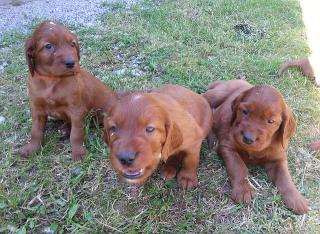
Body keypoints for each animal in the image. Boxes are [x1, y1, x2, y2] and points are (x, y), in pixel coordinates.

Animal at [19, 20, 115, 161]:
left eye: (72, 44)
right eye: (48, 46)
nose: (71, 63)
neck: (52, 80)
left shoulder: (76, 110)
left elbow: (76, 134)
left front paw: (78, 153)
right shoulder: (37, 110)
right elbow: (36, 132)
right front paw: (32, 148)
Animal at [204, 80, 308, 214]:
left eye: (270, 121)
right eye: (244, 111)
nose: (248, 138)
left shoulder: (278, 159)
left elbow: (285, 177)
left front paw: (296, 198)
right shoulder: (227, 146)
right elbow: (238, 167)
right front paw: (243, 190)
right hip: (217, 94)